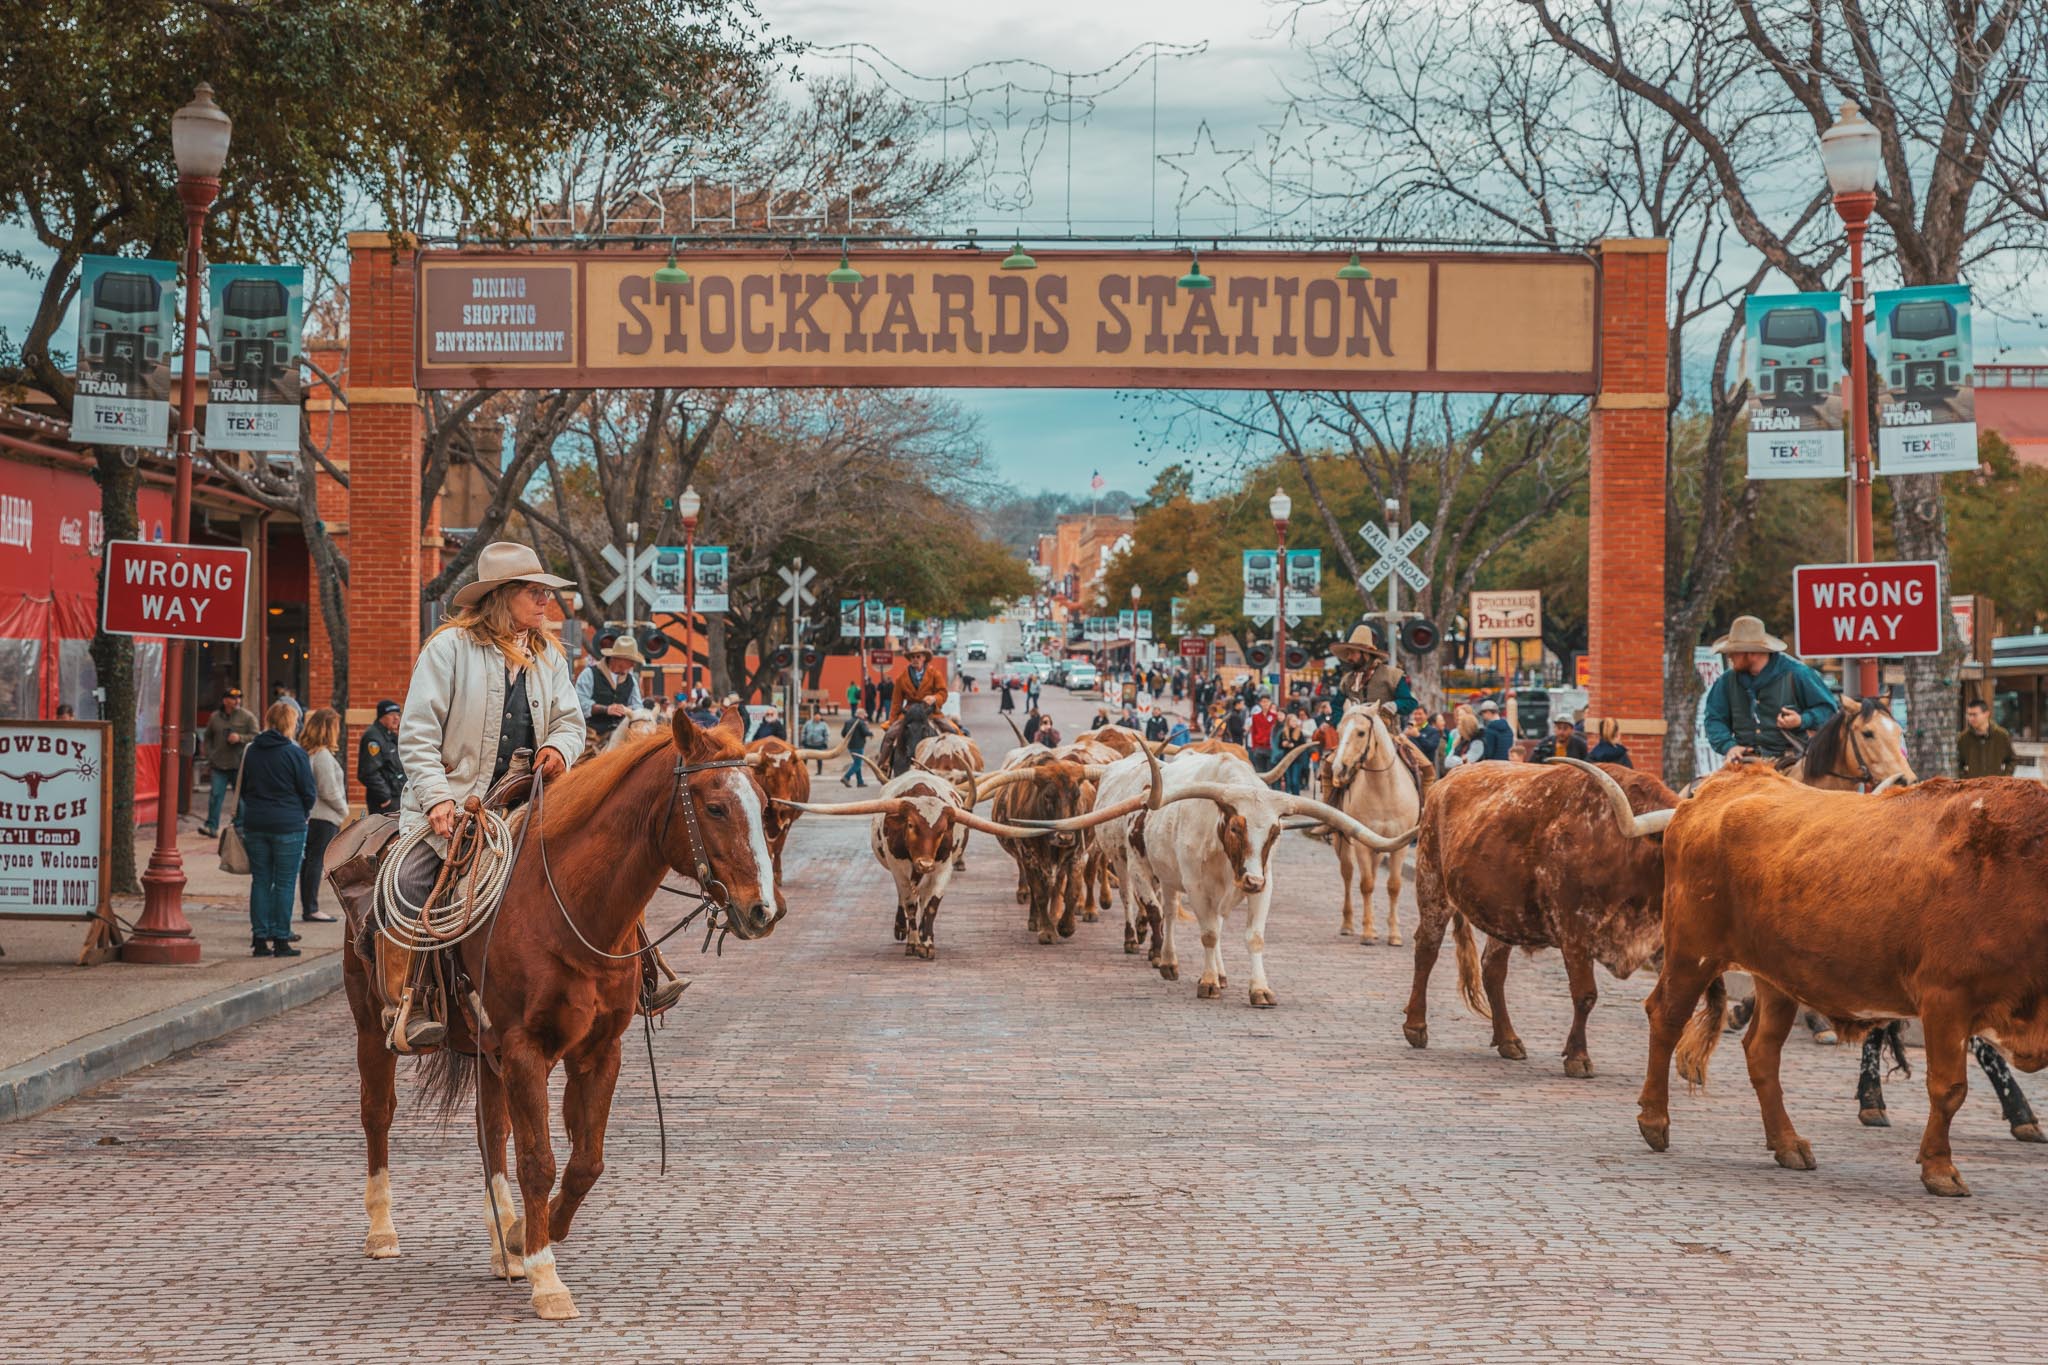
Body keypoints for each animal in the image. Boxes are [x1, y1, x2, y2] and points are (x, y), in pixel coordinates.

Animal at [344, 712, 774, 1317]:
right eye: (714, 806)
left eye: (762, 802)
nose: (763, 910)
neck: (567, 907)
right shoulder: (526, 1049)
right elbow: (539, 1160)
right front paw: (546, 1276)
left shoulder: (598, 1050)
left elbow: (584, 1160)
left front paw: (524, 1236)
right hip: (373, 1026)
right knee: (378, 1114)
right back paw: (382, 1231)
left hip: (487, 1052)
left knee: (492, 1131)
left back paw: (502, 1239)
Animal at [1318, 712, 1417, 945]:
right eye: (1339, 730)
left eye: (1361, 732)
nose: (1339, 769)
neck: (1384, 789)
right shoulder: (1360, 842)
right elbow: (1366, 884)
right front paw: (1368, 933)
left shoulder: (1399, 843)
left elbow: (1394, 885)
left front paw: (1394, 934)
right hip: (1342, 839)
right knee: (1348, 873)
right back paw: (1348, 924)